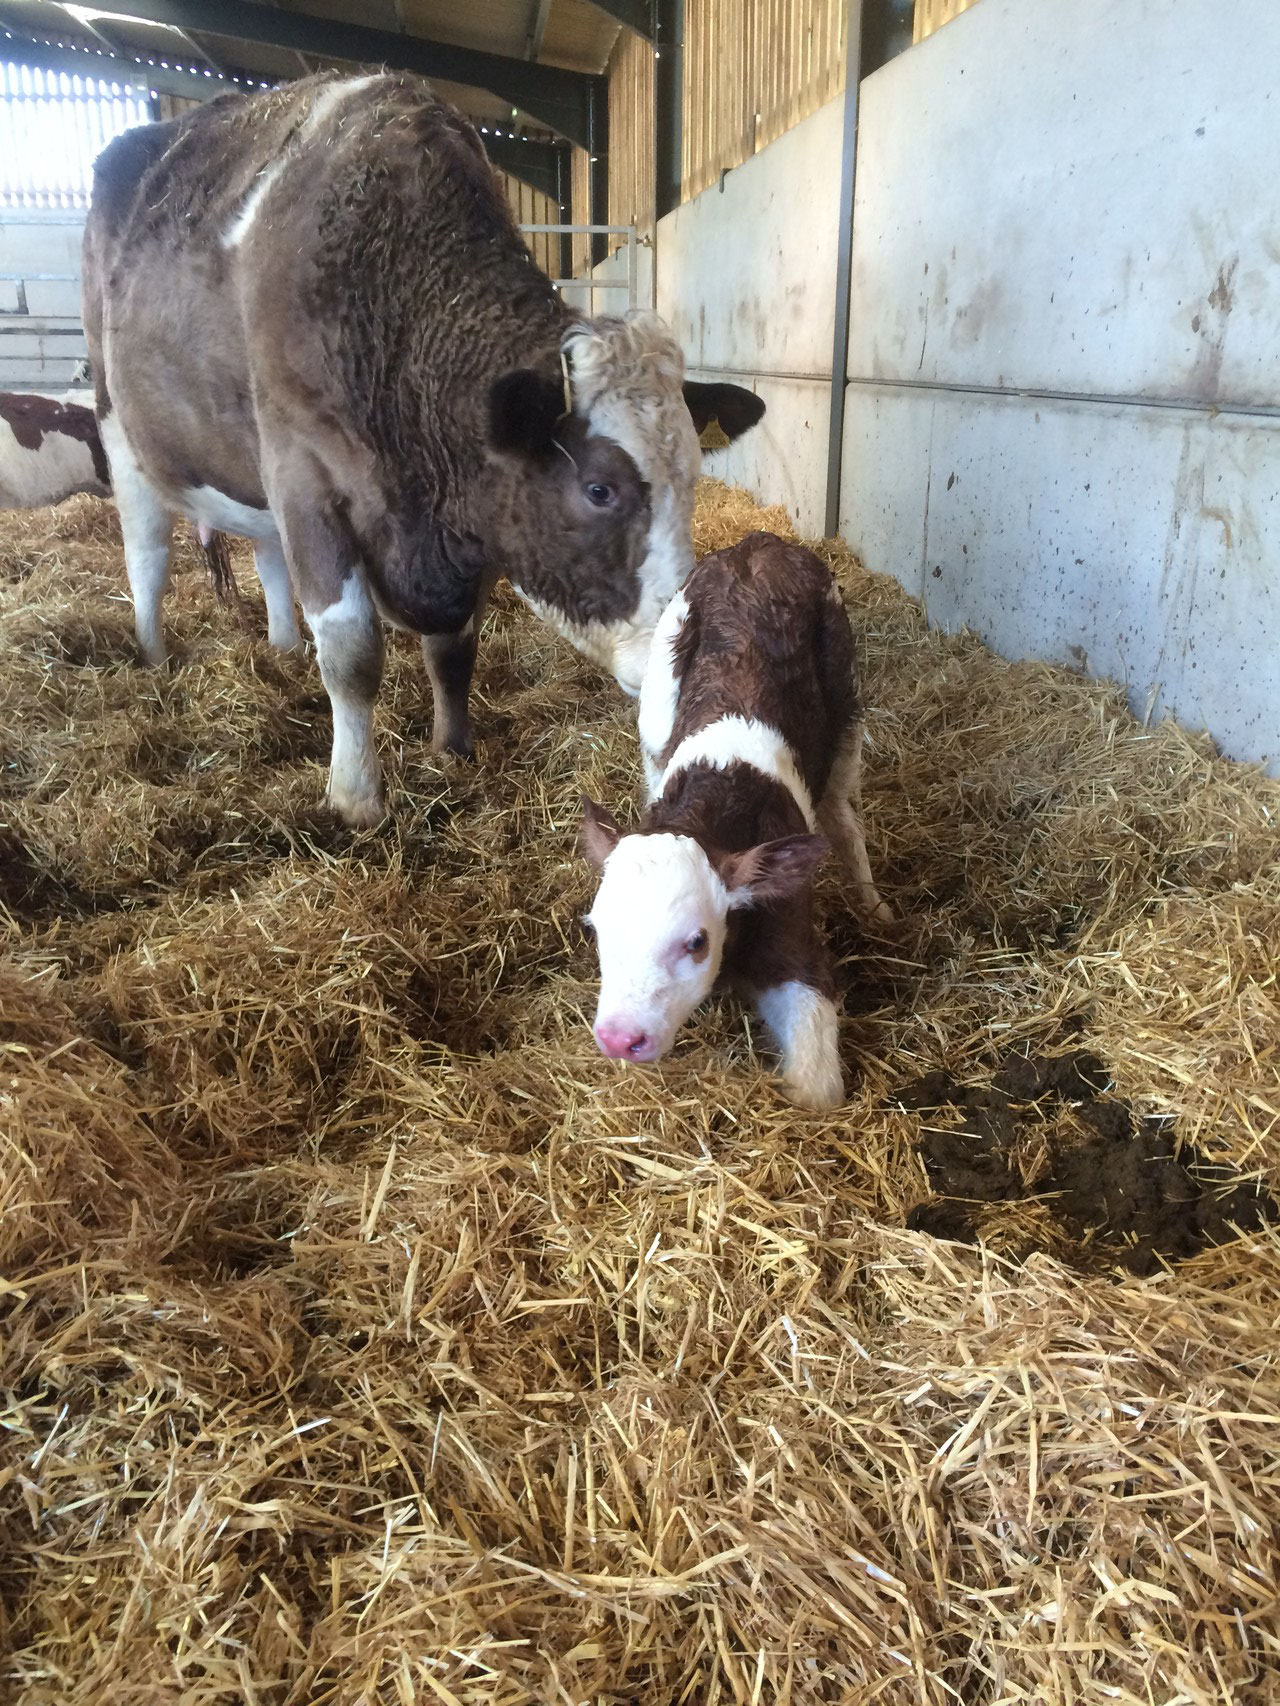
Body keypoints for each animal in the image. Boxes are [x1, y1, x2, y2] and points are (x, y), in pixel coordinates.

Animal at [85, 76, 768, 822]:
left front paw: (452, 749)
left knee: (264, 555)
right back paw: (153, 653)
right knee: (146, 554)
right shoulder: (304, 477)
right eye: (599, 489)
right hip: (120, 427)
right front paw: (356, 796)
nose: (690, 656)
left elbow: (454, 650)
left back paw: (283, 648)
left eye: (693, 477)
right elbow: (352, 654)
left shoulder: (470, 520)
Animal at [580, 539, 894, 1112]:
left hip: (847, 697)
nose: (620, 1038)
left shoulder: (791, 930)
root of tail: (761, 543)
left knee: (842, 815)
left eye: (696, 942)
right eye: (595, 928)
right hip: (657, 695)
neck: (715, 798)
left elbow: (816, 1091)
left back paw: (875, 907)